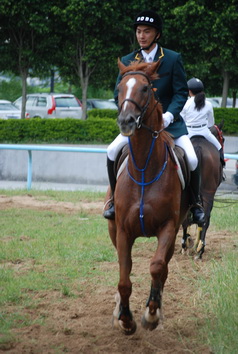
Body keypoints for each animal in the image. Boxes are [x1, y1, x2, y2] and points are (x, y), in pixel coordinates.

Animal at [106, 59, 190, 336]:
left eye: (145, 88)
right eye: (119, 88)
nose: (126, 121)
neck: (144, 167)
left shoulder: (168, 228)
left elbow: (156, 267)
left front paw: (150, 315)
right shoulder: (122, 230)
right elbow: (124, 278)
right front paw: (125, 319)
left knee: (162, 269)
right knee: (128, 267)